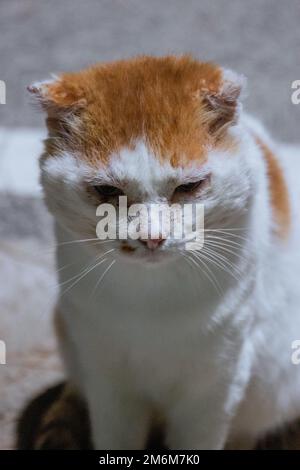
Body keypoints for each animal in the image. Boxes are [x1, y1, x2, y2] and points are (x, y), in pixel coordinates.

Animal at [27, 56, 300, 452]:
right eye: (106, 190)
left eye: (189, 186)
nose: (152, 237)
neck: (152, 299)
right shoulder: (108, 383)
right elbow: (115, 436)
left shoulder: (216, 384)